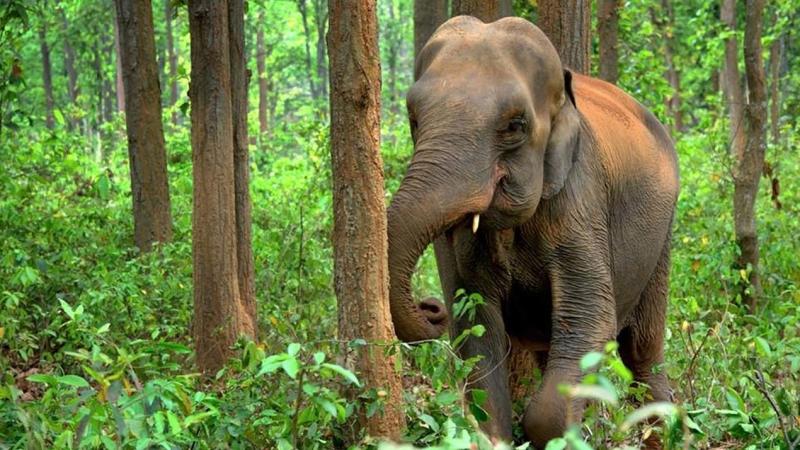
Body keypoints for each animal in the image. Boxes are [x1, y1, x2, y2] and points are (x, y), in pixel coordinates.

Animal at [386, 16, 679, 447]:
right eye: (414, 120)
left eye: (515, 125)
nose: (430, 308)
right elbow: (477, 328)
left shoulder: (580, 197)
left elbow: (592, 317)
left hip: (662, 239)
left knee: (642, 355)